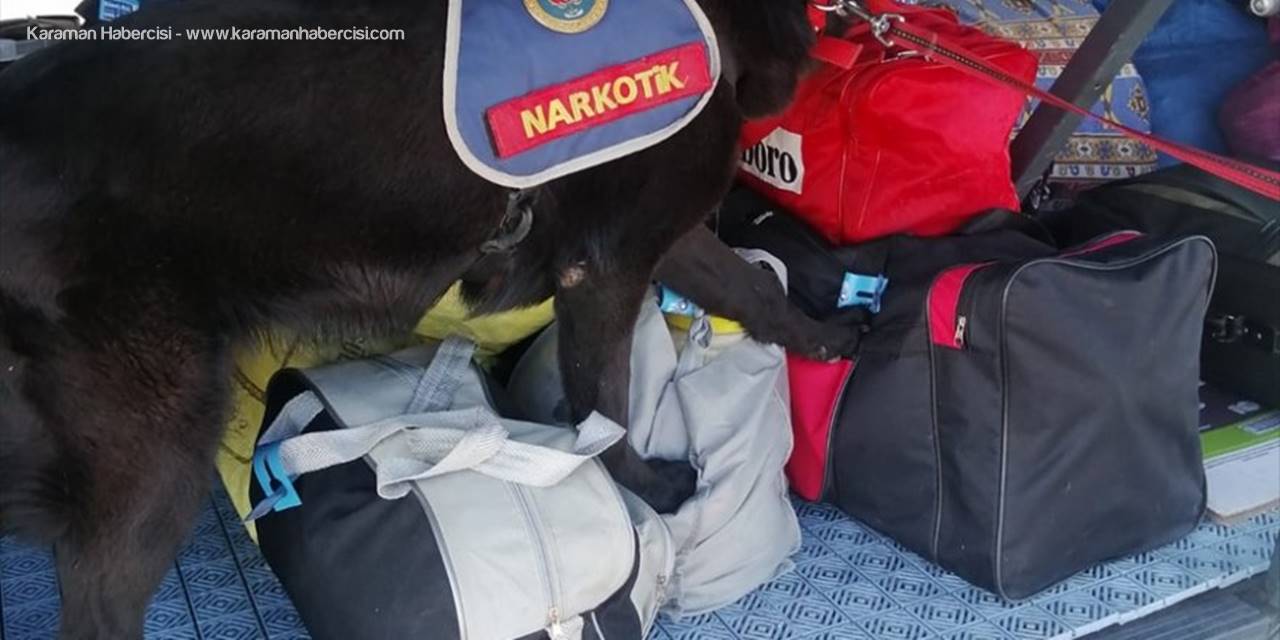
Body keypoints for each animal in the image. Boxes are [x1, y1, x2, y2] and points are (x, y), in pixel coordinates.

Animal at [0, 0, 847, 637]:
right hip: (158, 442)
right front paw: (647, 487)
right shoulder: (608, 263)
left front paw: (823, 337)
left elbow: (747, 288)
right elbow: (604, 407)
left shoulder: (658, 240)